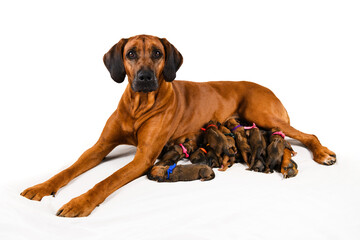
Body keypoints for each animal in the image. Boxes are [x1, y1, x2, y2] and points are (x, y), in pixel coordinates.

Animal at [19, 34, 334, 218]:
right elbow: (68, 169)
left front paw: (80, 202)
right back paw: (286, 163)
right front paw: (42, 186)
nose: (145, 77)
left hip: (265, 117)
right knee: (286, 145)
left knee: (307, 135)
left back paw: (321, 154)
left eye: (157, 53)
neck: (138, 106)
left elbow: (106, 180)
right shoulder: (99, 147)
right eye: (131, 54)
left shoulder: (144, 157)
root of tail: (268, 88)